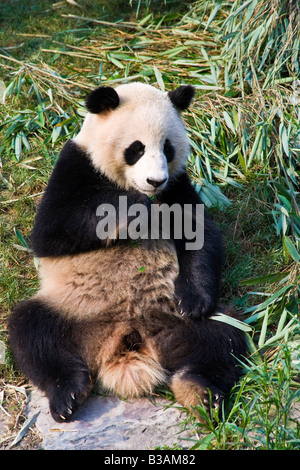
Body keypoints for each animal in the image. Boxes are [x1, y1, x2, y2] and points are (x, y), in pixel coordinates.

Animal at [8, 82, 246, 424]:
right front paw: (135, 209)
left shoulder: (177, 184)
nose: (155, 181)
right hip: (72, 308)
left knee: (221, 335)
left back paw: (200, 393)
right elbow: (50, 232)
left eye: (167, 148)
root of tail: (128, 336)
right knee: (33, 333)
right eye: (136, 148)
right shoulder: (75, 166)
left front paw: (192, 300)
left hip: (174, 318)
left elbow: (201, 236)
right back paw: (67, 394)